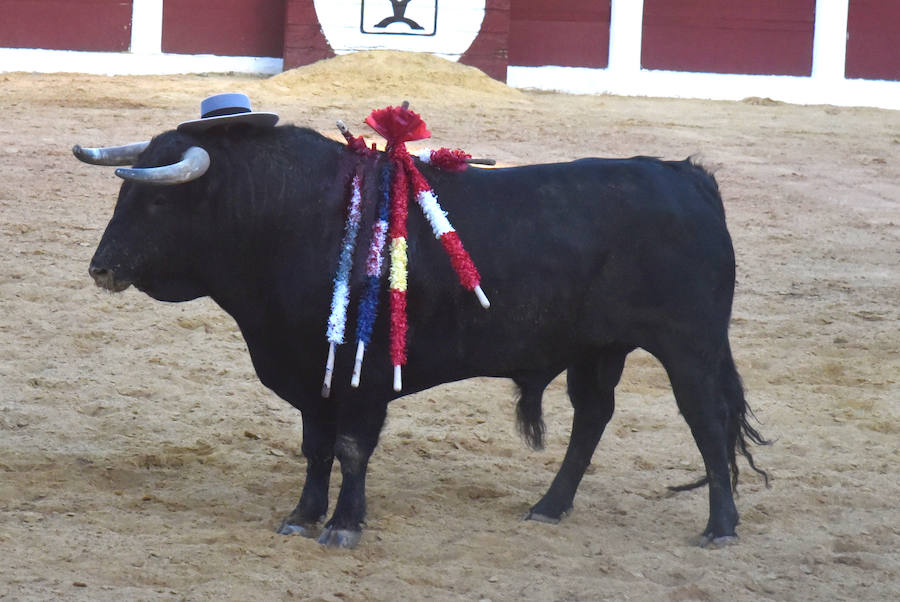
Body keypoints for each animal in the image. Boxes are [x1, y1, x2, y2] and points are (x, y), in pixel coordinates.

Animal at [77, 126, 768, 548]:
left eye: (157, 202)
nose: (101, 267)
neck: (290, 218)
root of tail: (687, 177)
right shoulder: (310, 374)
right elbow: (316, 448)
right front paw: (302, 518)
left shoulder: (363, 379)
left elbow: (351, 448)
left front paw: (344, 526)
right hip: (598, 349)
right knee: (593, 416)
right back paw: (549, 505)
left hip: (689, 345)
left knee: (705, 420)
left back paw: (721, 527)